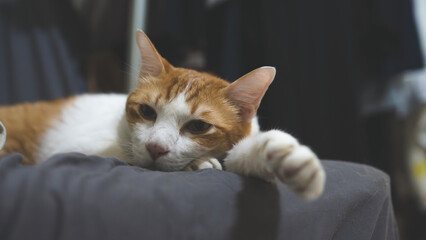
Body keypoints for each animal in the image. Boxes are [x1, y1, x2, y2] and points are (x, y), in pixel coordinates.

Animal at [0, 29, 324, 200]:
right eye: (146, 111)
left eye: (198, 126)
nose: (155, 148)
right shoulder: (80, 148)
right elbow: (124, 156)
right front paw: (198, 164)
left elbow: (246, 154)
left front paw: (288, 158)